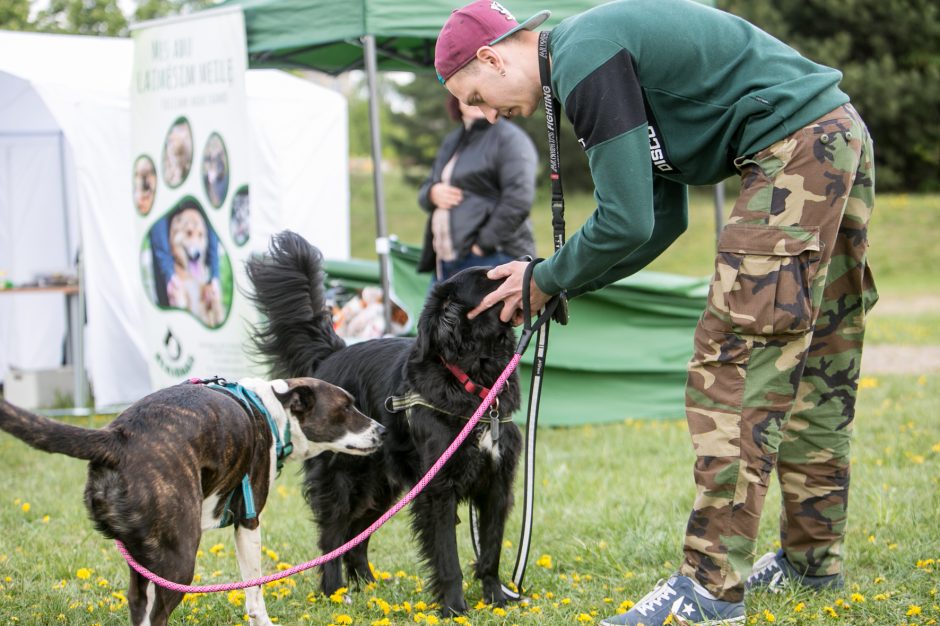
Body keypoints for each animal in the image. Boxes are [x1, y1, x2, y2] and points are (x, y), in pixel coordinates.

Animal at [0, 376, 386, 624]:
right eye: (346, 408)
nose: (382, 430)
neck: (271, 410)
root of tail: (117, 437)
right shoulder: (248, 522)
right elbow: (254, 592)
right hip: (180, 558)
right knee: (157, 615)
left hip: (145, 558)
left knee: (139, 605)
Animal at [244, 230, 520, 616]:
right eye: (489, 277)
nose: (530, 260)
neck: (475, 383)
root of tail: (332, 356)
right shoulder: (437, 490)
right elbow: (448, 556)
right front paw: (454, 608)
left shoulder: (497, 483)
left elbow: (491, 550)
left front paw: (496, 600)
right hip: (342, 481)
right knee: (333, 538)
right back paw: (334, 592)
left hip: (379, 487)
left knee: (356, 539)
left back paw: (371, 588)